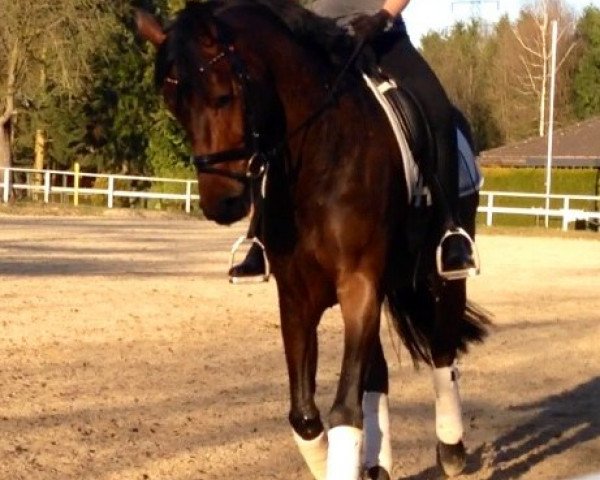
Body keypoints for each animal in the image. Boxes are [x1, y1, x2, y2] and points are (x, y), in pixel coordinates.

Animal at [135, 1, 488, 478]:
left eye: (223, 96)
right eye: (174, 106)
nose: (220, 203)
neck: (321, 154)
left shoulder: (358, 284)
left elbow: (344, 409)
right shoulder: (298, 295)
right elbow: (305, 415)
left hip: (443, 275)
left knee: (442, 350)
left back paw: (451, 451)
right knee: (378, 375)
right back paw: (377, 463)